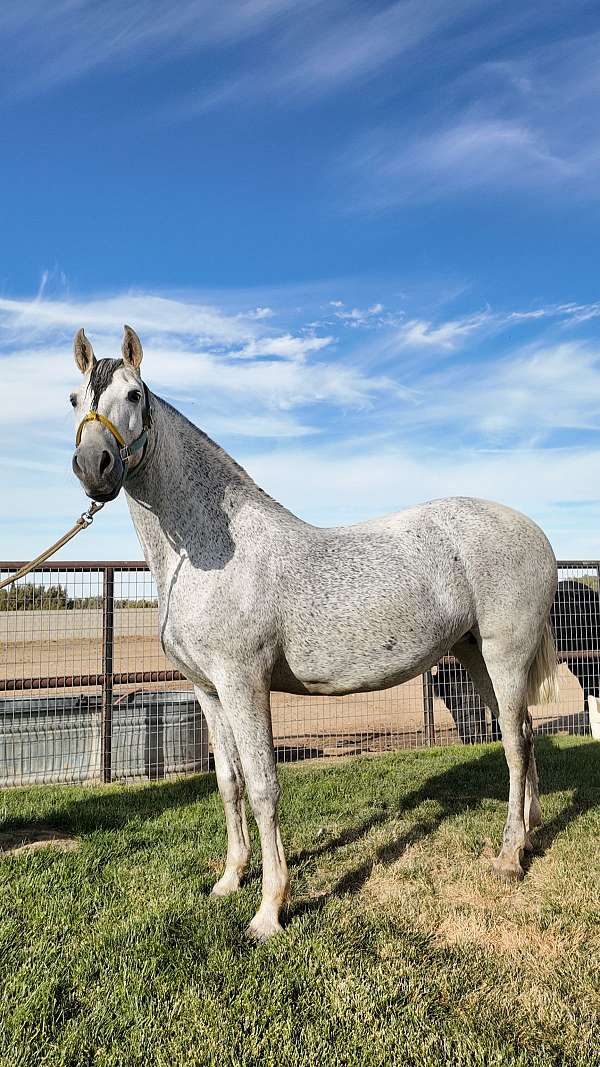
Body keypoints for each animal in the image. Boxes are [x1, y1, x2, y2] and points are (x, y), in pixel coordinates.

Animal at [68, 326, 555, 943]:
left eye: (133, 395)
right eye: (73, 400)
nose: (94, 465)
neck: (207, 550)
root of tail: (532, 529)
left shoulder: (244, 684)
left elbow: (263, 786)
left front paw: (270, 911)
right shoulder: (209, 692)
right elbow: (228, 782)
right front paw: (230, 880)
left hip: (506, 656)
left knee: (515, 746)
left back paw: (510, 857)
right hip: (475, 658)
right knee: (525, 735)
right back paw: (531, 833)